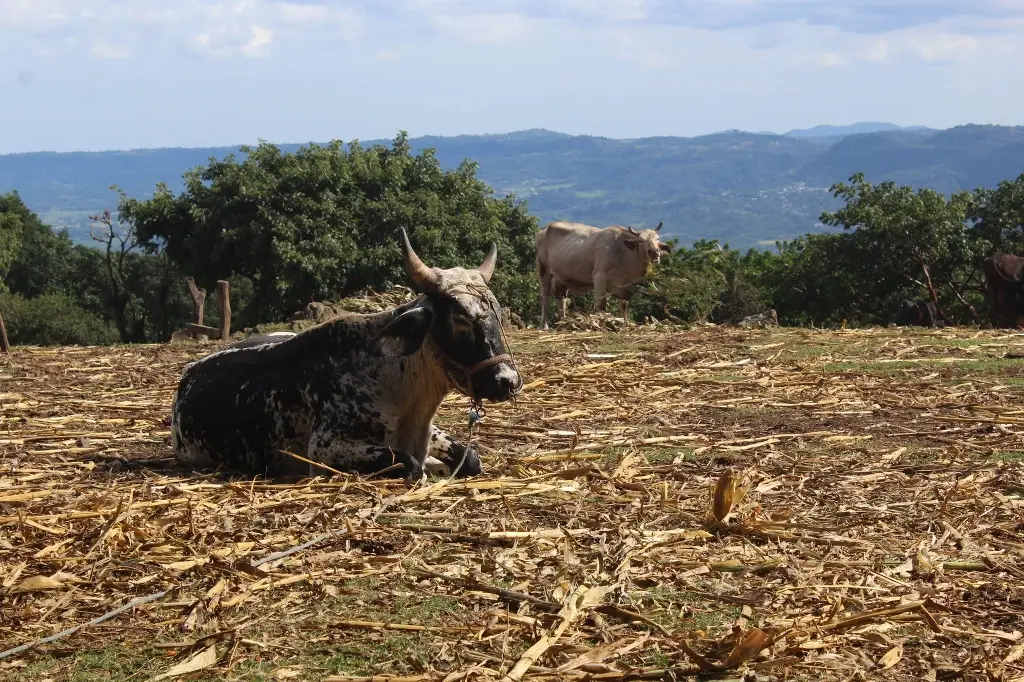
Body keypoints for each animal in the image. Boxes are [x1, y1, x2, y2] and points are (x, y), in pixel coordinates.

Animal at [168, 231, 524, 481]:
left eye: (496, 312)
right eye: (460, 319)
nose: (507, 381)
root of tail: (189, 371)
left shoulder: (433, 431)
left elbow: (470, 458)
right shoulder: (325, 448)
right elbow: (411, 465)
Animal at [536, 220, 671, 329]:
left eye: (657, 239)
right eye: (640, 241)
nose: (654, 252)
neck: (623, 253)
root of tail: (544, 230)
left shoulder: (625, 286)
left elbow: (624, 305)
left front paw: (626, 323)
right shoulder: (599, 277)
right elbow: (601, 305)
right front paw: (600, 324)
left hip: (561, 276)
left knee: (561, 296)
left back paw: (563, 322)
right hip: (544, 268)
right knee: (545, 296)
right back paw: (545, 326)